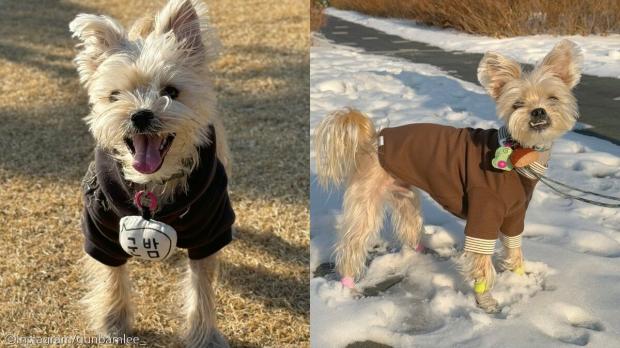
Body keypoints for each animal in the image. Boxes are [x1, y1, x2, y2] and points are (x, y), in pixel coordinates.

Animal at [68, 1, 232, 346]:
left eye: (171, 91)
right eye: (115, 95)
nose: (140, 114)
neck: (151, 186)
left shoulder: (210, 230)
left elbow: (201, 287)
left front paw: (205, 335)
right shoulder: (101, 231)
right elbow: (112, 276)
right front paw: (113, 322)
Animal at [314, 39, 580, 312]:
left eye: (553, 98)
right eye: (517, 104)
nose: (538, 112)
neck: (520, 155)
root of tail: (373, 139)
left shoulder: (514, 216)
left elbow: (514, 249)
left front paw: (519, 280)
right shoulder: (483, 215)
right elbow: (482, 262)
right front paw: (485, 299)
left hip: (404, 196)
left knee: (410, 229)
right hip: (366, 204)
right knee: (352, 244)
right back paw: (347, 285)